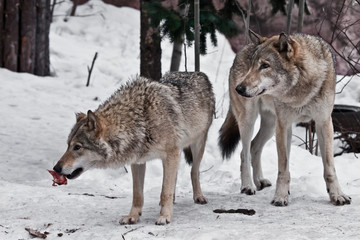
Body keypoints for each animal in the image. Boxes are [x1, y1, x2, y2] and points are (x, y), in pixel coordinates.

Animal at [52, 71, 215, 225]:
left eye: (77, 147)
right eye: (68, 145)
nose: (56, 168)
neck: (141, 120)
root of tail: (197, 73)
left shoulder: (170, 154)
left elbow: (165, 191)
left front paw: (165, 217)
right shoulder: (138, 162)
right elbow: (137, 195)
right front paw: (132, 217)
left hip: (197, 145)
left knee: (194, 171)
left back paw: (198, 196)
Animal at [219, 30, 352, 206]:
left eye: (265, 65)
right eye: (252, 65)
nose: (239, 88)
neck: (300, 91)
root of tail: (241, 50)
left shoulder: (324, 123)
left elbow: (330, 167)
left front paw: (337, 195)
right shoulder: (284, 125)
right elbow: (283, 168)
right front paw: (281, 196)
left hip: (269, 126)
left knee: (254, 147)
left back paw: (259, 181)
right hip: (249, 120)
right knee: (244, 153)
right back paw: (248, 185)